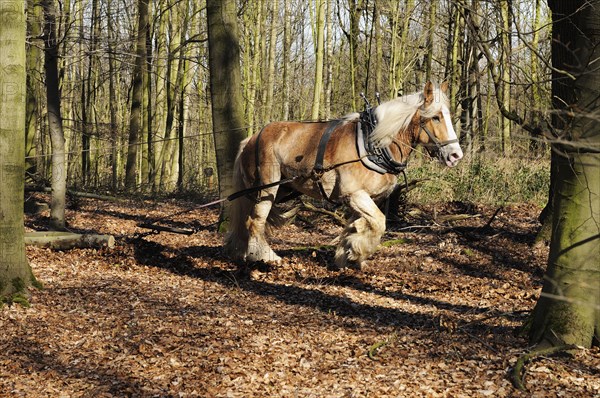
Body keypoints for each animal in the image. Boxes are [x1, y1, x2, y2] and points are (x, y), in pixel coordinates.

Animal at [225, 81, 464, 268]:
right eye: (435, 118)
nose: (455, 155)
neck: (372, 143)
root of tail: (251, 139)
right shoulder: (354, 194)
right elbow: (379, 223)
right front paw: (358, 252)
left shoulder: (362, 199)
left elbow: (356, 226)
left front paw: (348, 253)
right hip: (268, 186)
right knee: (255, 221)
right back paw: (265, 256)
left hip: (279, 189)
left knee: (248, 219)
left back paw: (242, 251)